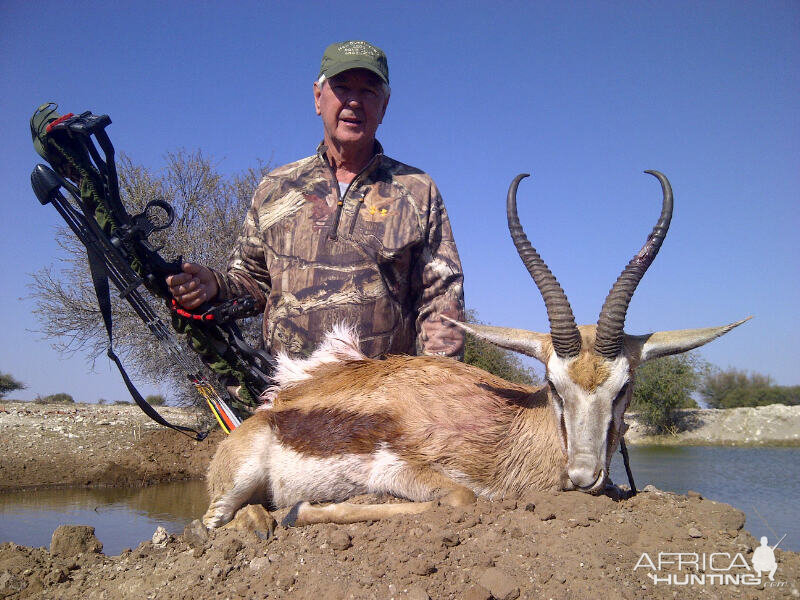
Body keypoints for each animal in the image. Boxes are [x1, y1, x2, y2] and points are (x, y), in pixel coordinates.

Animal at [203, 171, 748, 528]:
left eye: (624, 387)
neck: (514, 430)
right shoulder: (405, 467)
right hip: (232, 488)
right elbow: (465, 499)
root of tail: (269, 411)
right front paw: (304, 510)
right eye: (553, 385)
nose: (583, 475)